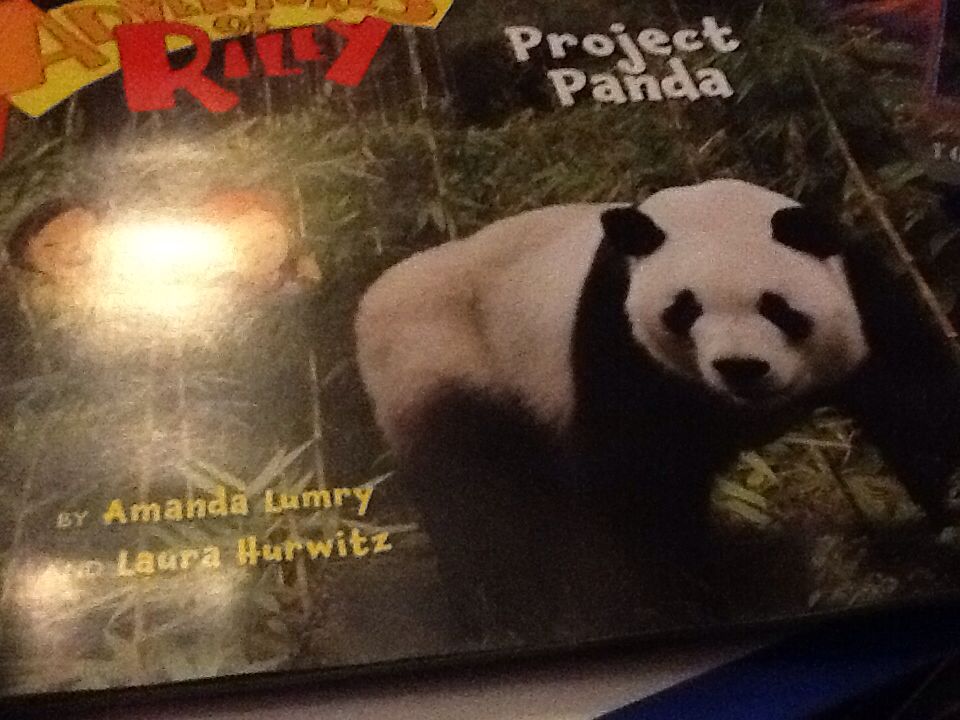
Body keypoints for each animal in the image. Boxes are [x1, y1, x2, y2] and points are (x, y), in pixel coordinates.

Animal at [355, 179, 960, 638]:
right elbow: (637, 477)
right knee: (475, 496)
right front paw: (670, 602)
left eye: (776, 306)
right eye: (685, 308)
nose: (741, 367)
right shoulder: (618, 336)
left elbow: (917, 406)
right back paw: (508, 614)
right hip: (444, 359)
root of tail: (371, 301)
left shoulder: (863, 297)